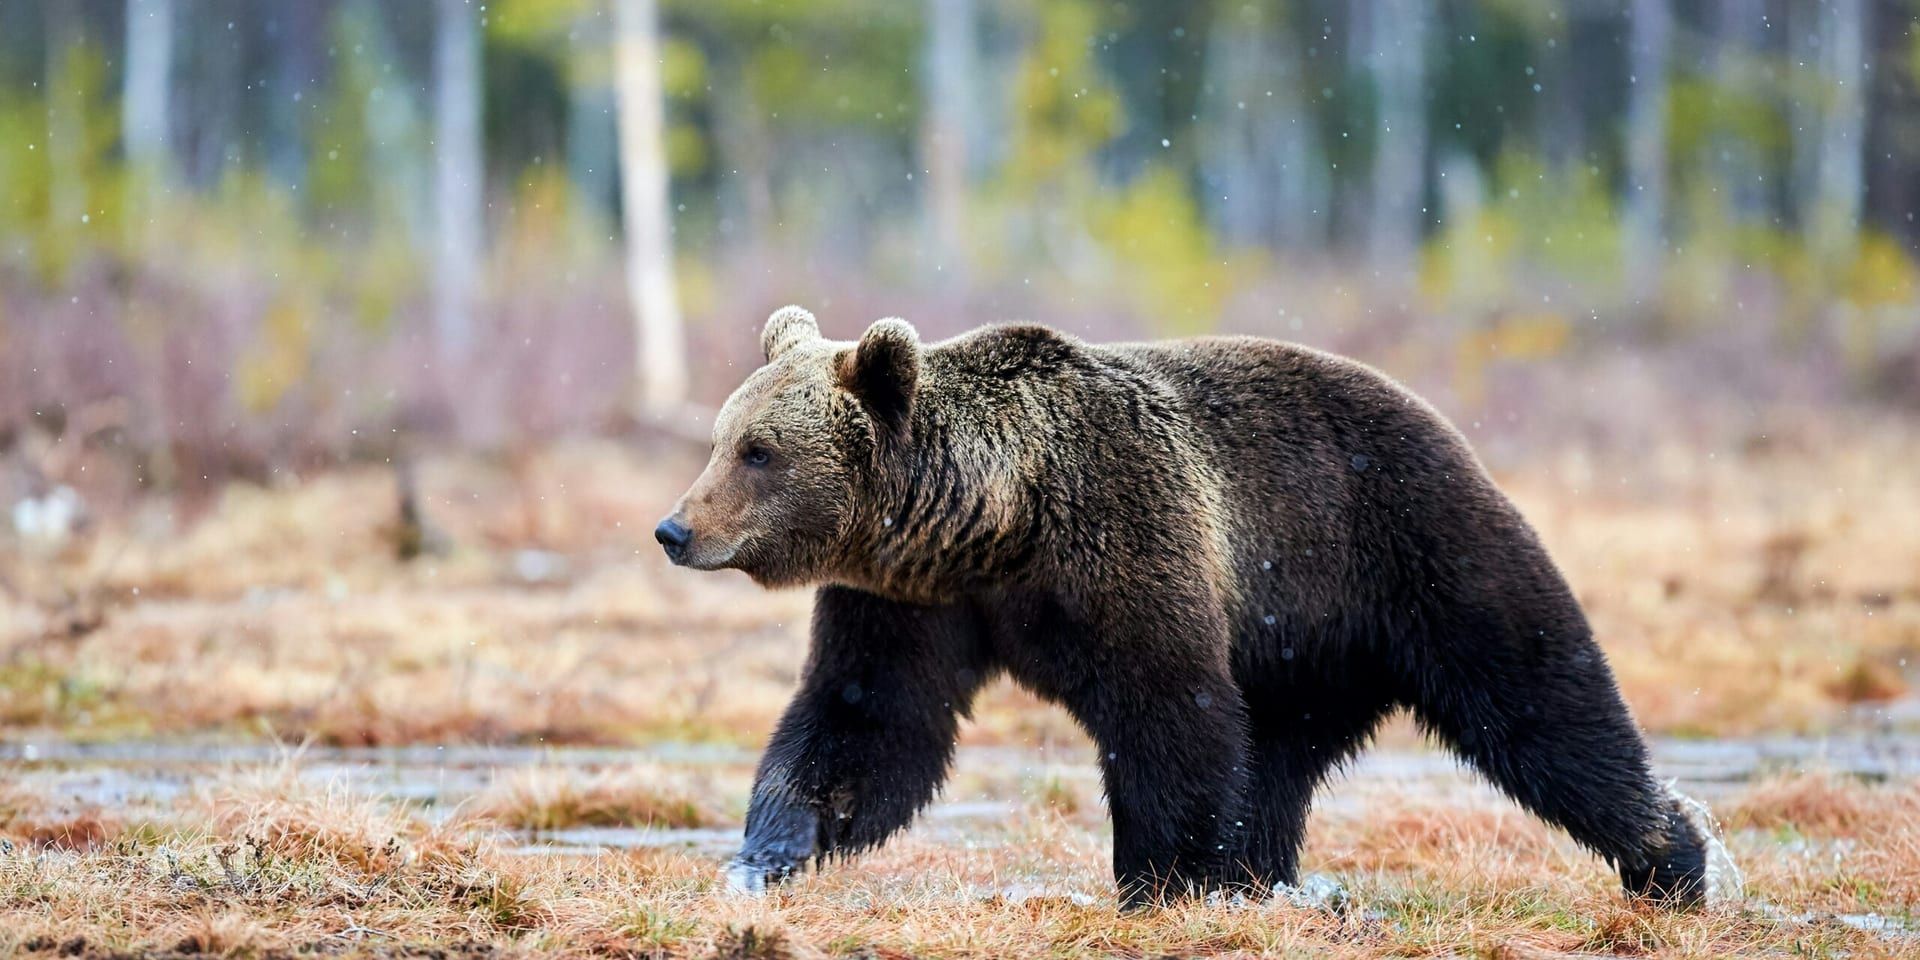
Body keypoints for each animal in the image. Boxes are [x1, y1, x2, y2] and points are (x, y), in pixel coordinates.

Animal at [655, 306, 1712, 909]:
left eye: (757, 450)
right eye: (720, 438)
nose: (675, 527)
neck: (991, 523)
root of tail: (1444, 420)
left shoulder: (1125, 538)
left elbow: (1169, 709)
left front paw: (1163, 880)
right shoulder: (909, 603)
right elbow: (868, 722)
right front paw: (772, 849)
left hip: (1405, 547)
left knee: (1537, 697)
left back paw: (1673, 855)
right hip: (1303, 651)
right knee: (1283, 755)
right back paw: (1263, 875)